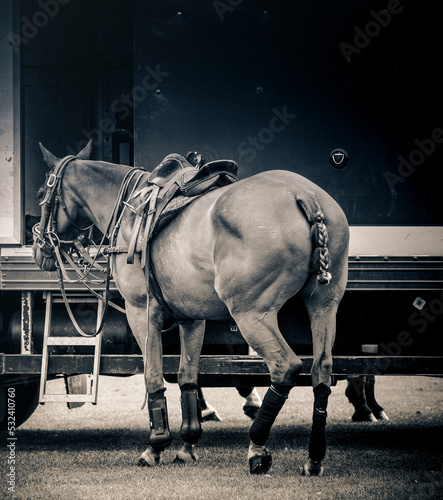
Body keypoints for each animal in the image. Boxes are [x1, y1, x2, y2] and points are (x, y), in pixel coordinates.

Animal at [32, 141, 350, 476]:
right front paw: (187, 444)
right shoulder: (193, 317)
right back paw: (313, 458)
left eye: (41, 193)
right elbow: (187, 376)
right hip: (324, 304)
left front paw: (156, 445)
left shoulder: (141, 310)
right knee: (321, 370)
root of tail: (304, 194)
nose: (38, 249)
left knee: (285, 366)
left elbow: (154, 376)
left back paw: (256, 449)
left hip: (252, 313)